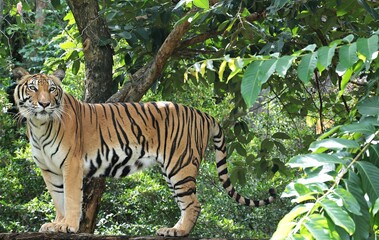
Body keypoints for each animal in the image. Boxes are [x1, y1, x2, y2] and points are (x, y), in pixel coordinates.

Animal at [13, 67, 278, 236]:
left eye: (52, 89)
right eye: (33, 88)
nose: (45, 104)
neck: (39, 125)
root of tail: (204, 114)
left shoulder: (71, 165)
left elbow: (70, 198)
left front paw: (68, 225)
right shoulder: (49, 169)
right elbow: (58, 198)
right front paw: (56, 224)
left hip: (180, 166)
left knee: (193, 204)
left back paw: (180, 232)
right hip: (172, 171)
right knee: (186, 203)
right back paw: (171, 229)